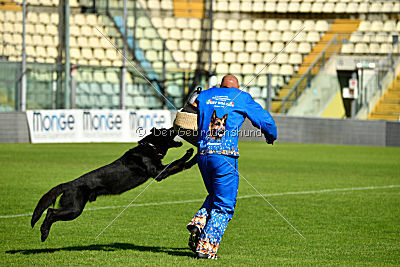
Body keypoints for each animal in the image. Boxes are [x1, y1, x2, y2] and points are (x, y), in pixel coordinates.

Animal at [32, 127, 198, 243]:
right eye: (167, 130)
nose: (175, 127)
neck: (150, 146)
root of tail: (68, 184)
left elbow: (181, 165)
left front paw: (194, 159)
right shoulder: (159, 173)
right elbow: (176, 162)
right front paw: (189, 153)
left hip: (73, 208)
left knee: (51, 212)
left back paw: (44, 233)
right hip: (74, 209)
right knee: (50, 212)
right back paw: (44, 232)